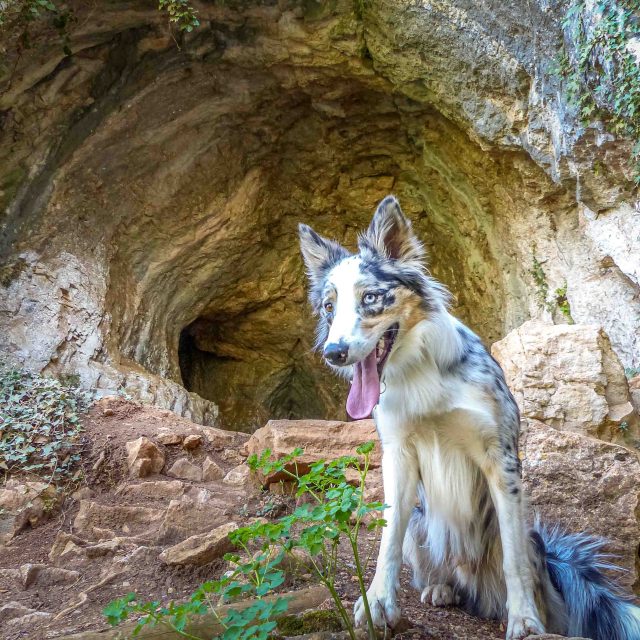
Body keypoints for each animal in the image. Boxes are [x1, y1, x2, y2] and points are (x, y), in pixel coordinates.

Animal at [298, 195, 640, 640]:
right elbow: (387, 543)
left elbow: (513, 562)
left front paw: (525, 620)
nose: (334, 352)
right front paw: (377, 604)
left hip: (533, 541)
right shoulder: (399, 455)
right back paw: (442, 588)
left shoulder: (500, 460)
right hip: (421, 522)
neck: (421, 375)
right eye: (329, 306)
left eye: (370, 298)